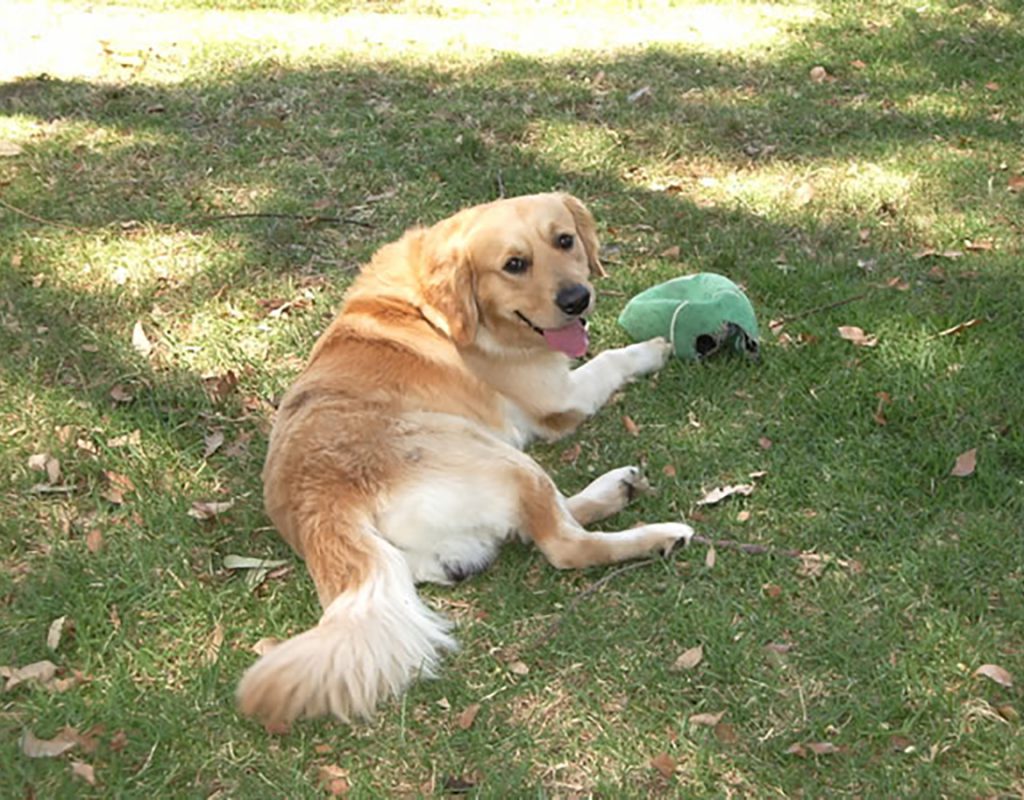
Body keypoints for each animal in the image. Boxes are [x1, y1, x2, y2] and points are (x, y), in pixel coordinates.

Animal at [235, 191, 692, 725]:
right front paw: (653, 347)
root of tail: (322, 505)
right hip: (495, 456)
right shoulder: (561, 395)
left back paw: (617, 488)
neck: (444, 311)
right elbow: (610, 358)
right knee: (564, 543)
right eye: (515, 264)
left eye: (565, 240)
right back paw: (658, 535)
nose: (577, 299)